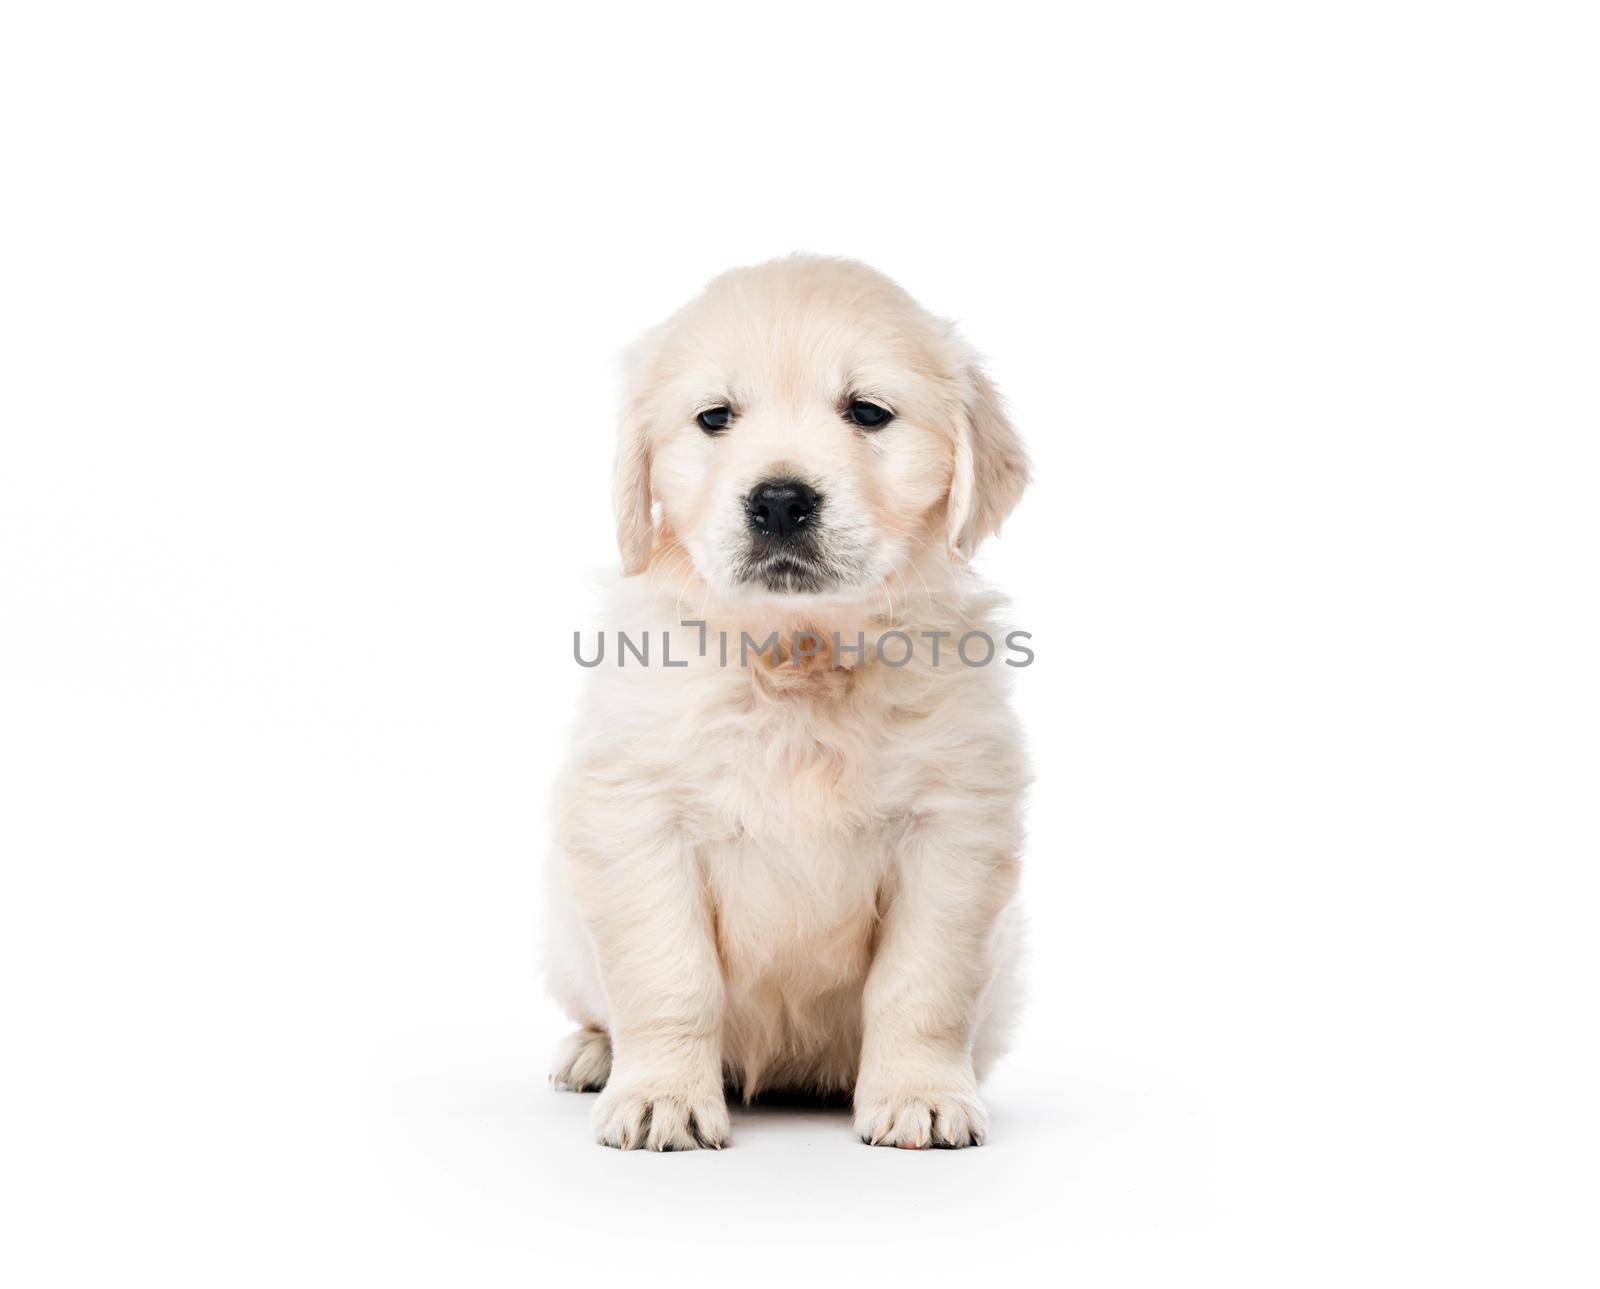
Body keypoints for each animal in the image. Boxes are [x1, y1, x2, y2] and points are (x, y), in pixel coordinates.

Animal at [544, 252, 1030, 1151]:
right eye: (714, 417)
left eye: (868, 411)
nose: (778, 500)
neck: (798, 655)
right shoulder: (639, 818)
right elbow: (669, 975)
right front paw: (662, 1094)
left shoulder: (952, 828)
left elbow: (922, 984)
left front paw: (920, 1093)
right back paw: (595, 1052)